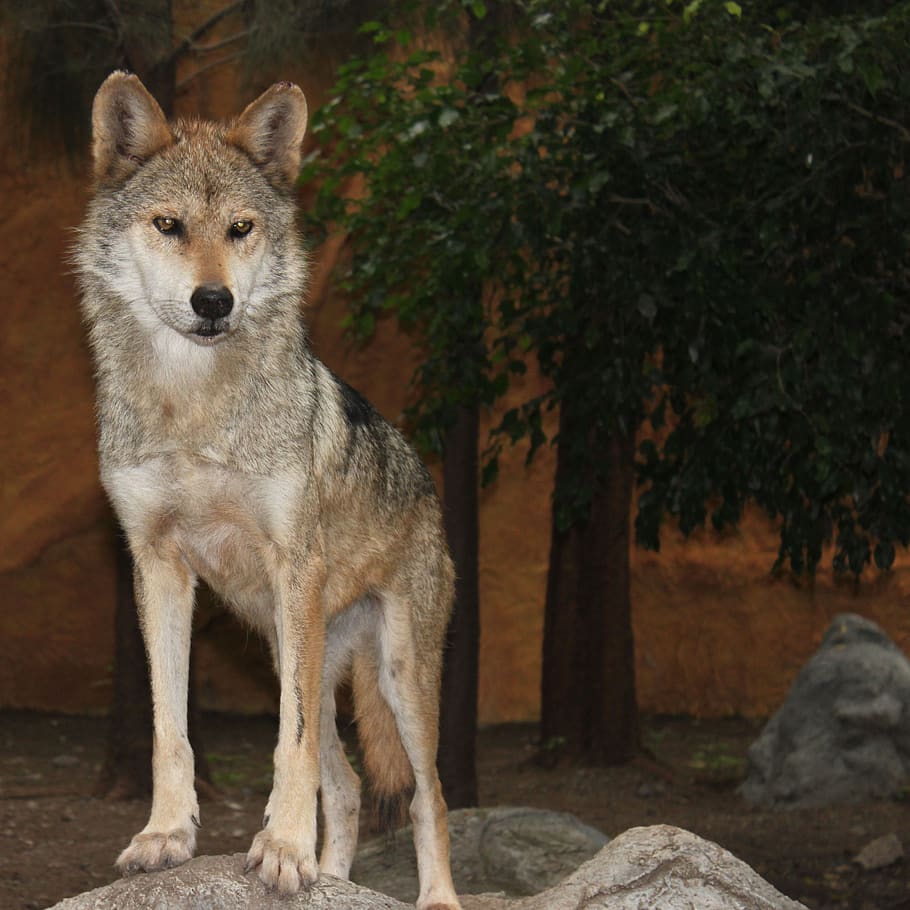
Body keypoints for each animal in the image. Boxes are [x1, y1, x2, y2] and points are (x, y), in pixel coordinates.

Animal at [73, 71, 461, 910]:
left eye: (241, 229)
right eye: (169, 225)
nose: (213, 301)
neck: (194, 406)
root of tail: (426, 486)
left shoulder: (295, 570)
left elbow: (291, 746)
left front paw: (282, 850)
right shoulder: (156, 567)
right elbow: (171, 730)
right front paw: (166, 836)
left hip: (397, 675)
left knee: (428, 795)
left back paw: (434, 897)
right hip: (295, 651)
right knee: (347, 787)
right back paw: (335, 878)